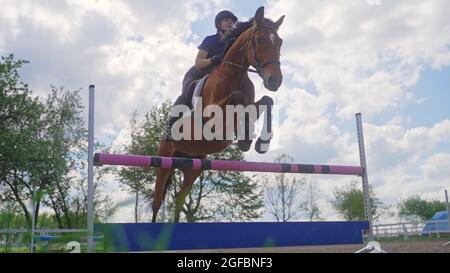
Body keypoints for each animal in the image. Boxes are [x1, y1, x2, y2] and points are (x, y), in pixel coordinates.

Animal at [153, 6, 284, 223]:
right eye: (259, 40)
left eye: (280, 42)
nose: (275, 81)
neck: (234, 74)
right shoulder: (211, 119)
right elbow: (237, 97)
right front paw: (245, 139)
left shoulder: (251, 104)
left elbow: (266, 101)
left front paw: (259, 143)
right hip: (164, 162)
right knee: (157, 201)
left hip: (193, 168)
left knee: (179, 200)